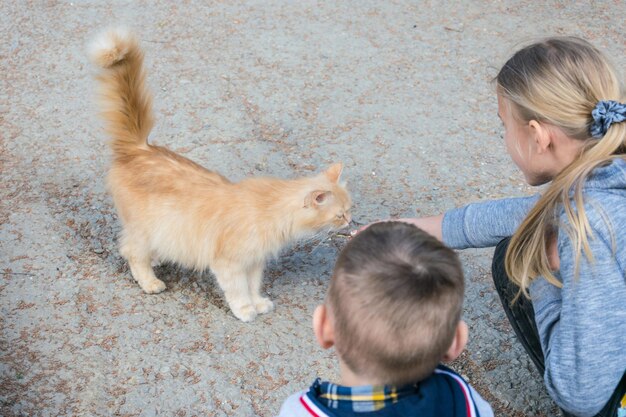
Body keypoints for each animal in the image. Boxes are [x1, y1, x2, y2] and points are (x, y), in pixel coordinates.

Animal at [89, 30, 352, 322]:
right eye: (339, 215)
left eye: (349, 209)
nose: (351, 221)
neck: (272, 209)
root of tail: (140, 147)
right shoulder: (229, 263)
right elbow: (238, 290)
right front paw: (246, 310)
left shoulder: (254, 262)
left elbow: (253, 285)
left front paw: (258, 303)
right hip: (144, 229)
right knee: (131, 252)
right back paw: (150, 282)